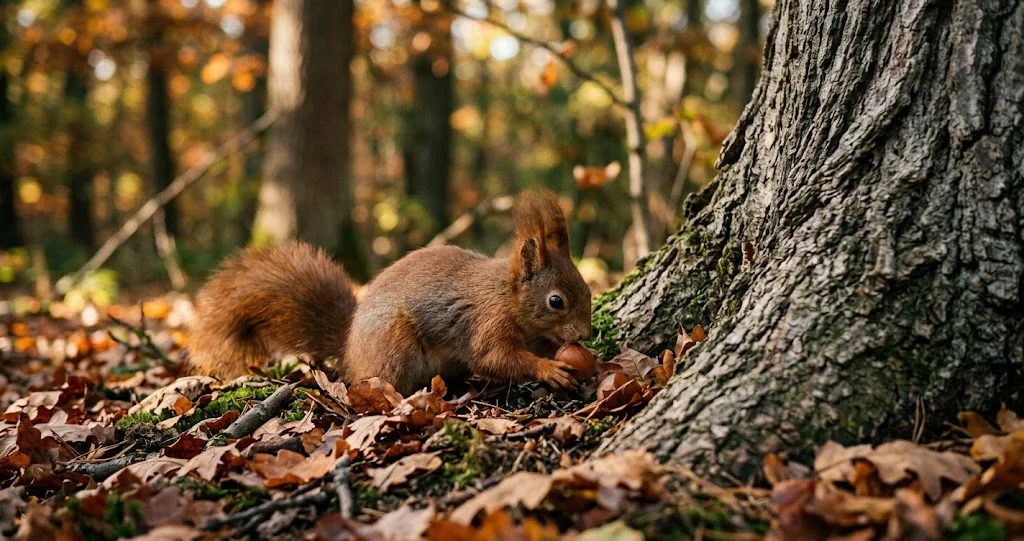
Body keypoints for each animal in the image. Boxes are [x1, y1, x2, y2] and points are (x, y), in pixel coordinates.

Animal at [186, 189, 593, 396]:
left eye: (588, 289)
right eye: (556, 301)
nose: (586, 334)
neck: (507, 298)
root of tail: (350, 352)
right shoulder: (485, 323)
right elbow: (495, 358)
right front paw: (547, 370)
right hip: (393, 344)